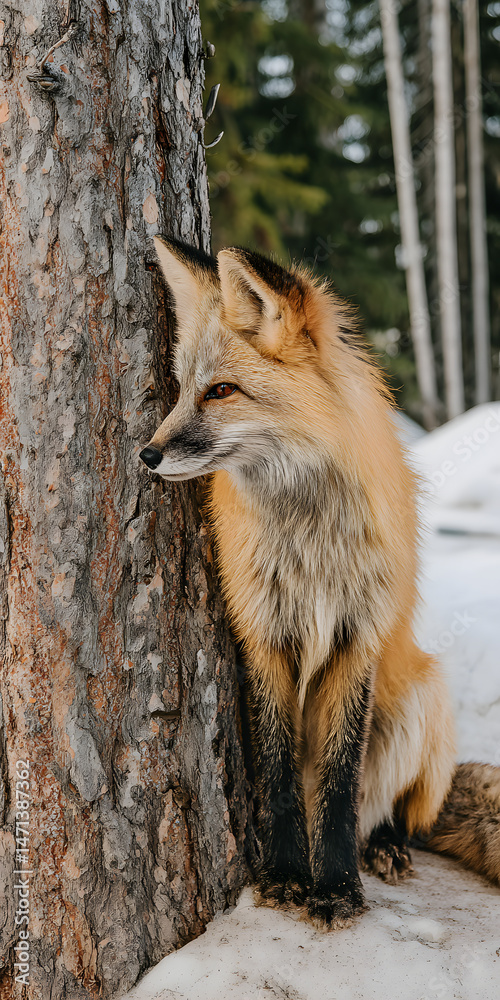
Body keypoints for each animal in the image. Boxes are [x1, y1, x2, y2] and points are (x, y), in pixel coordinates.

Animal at [140, 236, 500, 929]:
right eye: (184, 388)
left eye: (221, 391)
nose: (147, 454)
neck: (310, 545)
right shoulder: (263, 634)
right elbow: (279, 776)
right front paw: (285, 876)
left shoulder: (355, 639)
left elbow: (338, 785)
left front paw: (334, 887)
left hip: (423, 697)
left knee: (396, 814)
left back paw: (385, 846)